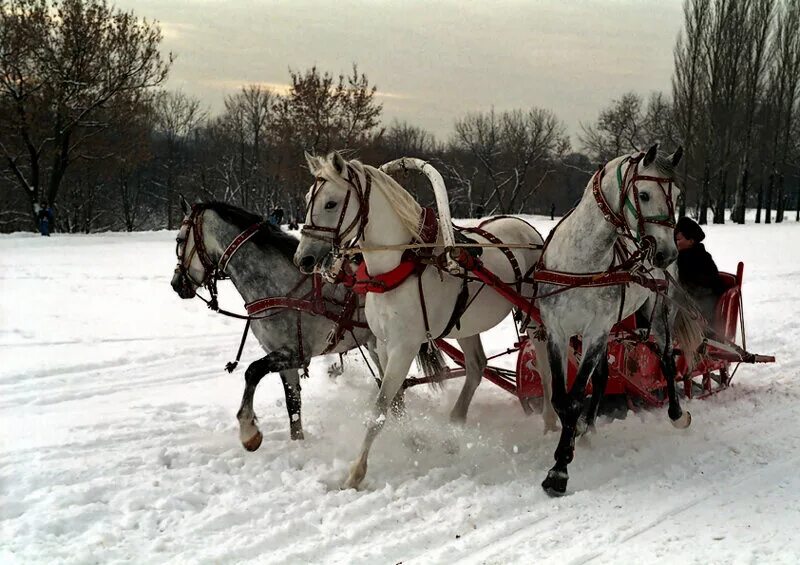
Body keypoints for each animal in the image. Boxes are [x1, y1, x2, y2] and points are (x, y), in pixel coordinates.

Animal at [169, 198, 376, 450]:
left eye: (179, 240)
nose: (176, 283)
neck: (282, 289)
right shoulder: (283, 359)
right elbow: (293, 406)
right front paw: (298, 444)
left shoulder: (295, 354)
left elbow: (252, 371)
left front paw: (248, 431)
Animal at [294, 151, 552, 490]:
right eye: (307, 199)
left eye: (331, 203)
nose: (304, 259)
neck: (398, 266)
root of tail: (529, 231)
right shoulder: (383, 344)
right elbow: (395, 401)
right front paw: (414, 441)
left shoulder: (404, 346)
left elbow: (379, 408)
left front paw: (356, 472)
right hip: (465, 325)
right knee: (476, 367)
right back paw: (455, 427)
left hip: (533, 316)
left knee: (544, 364)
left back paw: (550, 420)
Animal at [536, 143, 700, 496]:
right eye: (644, 194)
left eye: (679, 196)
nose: (667, 253)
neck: (583, 264)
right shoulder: (558, 331)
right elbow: (561, 398)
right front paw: (570, 441)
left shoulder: (596, 330)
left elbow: (574, 399)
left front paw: (559, 471)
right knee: (602, 377)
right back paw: (588, 426)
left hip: (657, 312)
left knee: (667, 359)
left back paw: (677, 414)